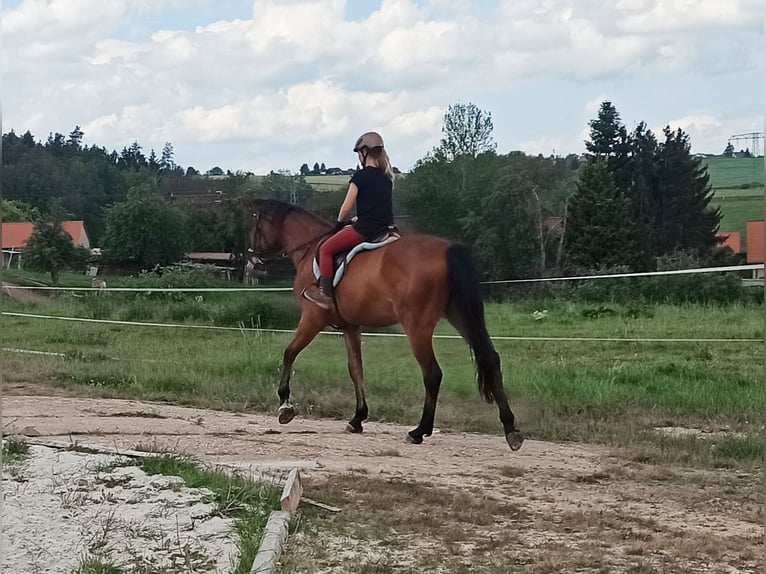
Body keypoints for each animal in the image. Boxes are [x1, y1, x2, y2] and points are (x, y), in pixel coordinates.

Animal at [249, 200, 524, 452]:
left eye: (256, 224)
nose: (252, 259)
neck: (309, 248)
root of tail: (447, 248)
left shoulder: (312, 318)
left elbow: (290, 353)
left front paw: (285, 406)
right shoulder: (351, 327)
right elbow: (355, 369)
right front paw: (357, 418)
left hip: (417, 326)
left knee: (433, 374)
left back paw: (419, 431)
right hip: (459, 316)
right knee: (490, 359)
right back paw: (511, 429)